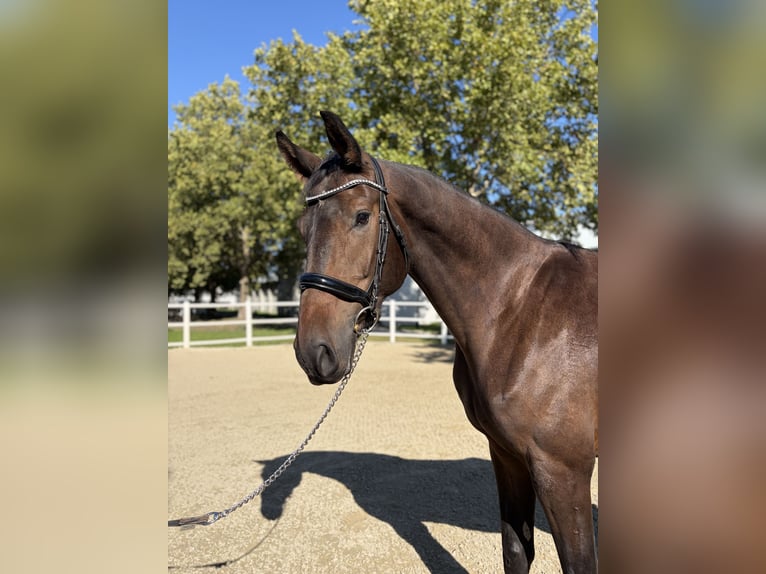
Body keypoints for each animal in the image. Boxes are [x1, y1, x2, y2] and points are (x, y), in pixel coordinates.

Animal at [276, 111, 598, 574]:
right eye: (304, 228)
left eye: (361, 216)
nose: (313, 351)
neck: (521, 310)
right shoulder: (507, 456)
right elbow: (516, 550)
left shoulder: (564, 472)